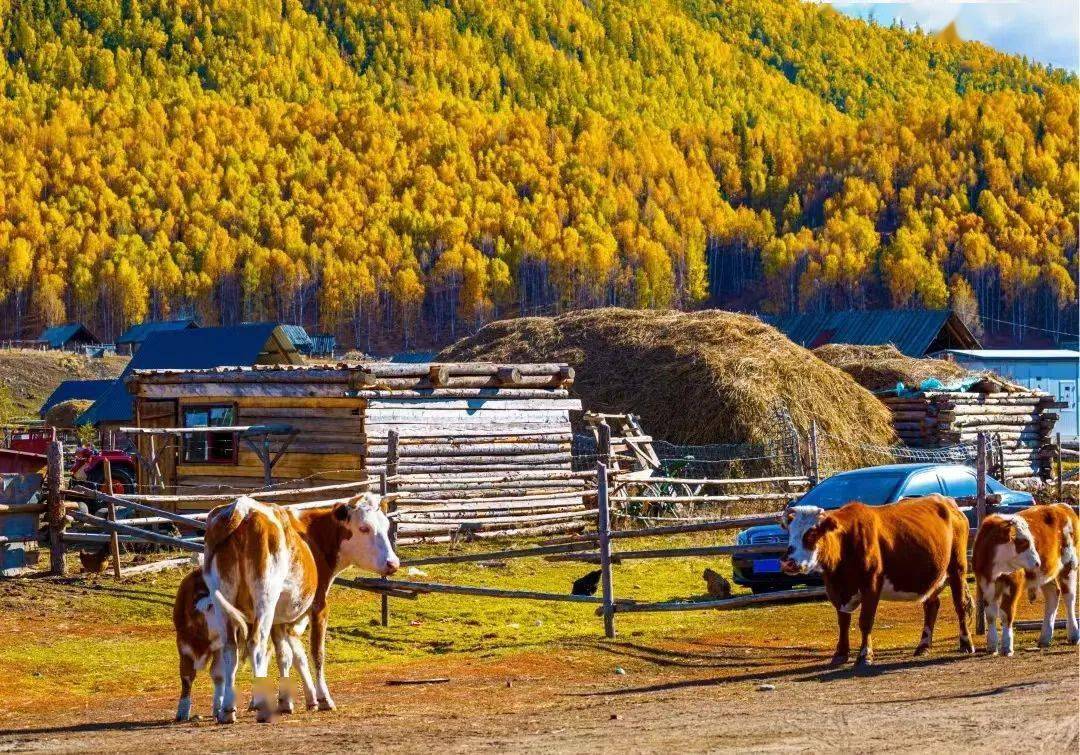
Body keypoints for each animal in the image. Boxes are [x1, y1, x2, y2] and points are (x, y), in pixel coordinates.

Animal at [203, 492, 401, 721]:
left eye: (386, 525)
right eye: (364, 528)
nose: (393, 563)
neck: (313, 536)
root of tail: (243, 508)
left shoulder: (279, 618)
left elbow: (288, 656)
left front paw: (288, 701)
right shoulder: (319, 606)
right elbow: (316, 653)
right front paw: (323, 698)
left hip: (224, 602)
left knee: (230, 649)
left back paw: (227, 708)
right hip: (265, 599)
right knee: (256, 644)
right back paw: (261, 705)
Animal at [781, 496, 976, 665]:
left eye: (812, 533)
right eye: (790, 533)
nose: (787, 562)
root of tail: (949, 503)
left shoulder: (871, 585)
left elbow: (865, 621)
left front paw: (865, 655)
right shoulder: (836, 589)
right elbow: (843, 623)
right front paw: (840, 654)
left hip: (957, 569)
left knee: (960, 606)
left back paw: (966, 643)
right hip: (932, 576)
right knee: (931, 606)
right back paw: (923, 646)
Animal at [972, 501, 1080, 656]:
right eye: (1023, 542)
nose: (1037, 562)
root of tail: (1061, 506)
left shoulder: (1013, 583)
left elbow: (1006, 613)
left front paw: (1007, 646)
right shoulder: (985, 584)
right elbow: (991, 615)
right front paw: (992, 646)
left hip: (1069, 565)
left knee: (1069, 599)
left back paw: (1073, 634)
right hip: (1045, 573)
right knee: (1053, 596)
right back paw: (1045, 637)